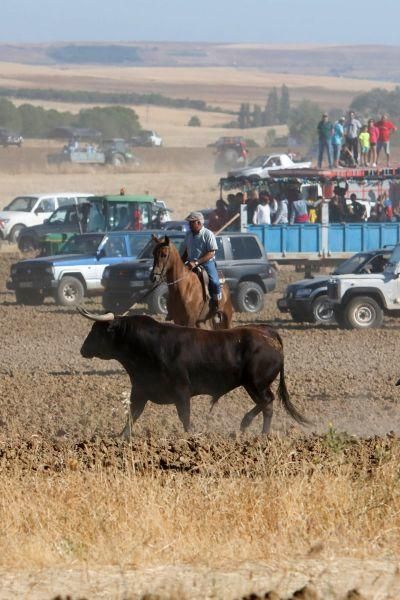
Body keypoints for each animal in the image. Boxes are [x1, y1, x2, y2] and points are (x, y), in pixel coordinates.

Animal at [79, 314, 308, 436]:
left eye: (97, 331)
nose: (83, 349)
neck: (146, 345)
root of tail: (266, 332)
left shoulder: (181, 391)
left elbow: (185, 417)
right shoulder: (140, 391)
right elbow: (132, 416)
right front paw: (120, 437)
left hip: (256, 384)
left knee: (267, 402)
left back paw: (251, 427)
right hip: (254, 385)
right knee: (267, 405)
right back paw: (257, 431)